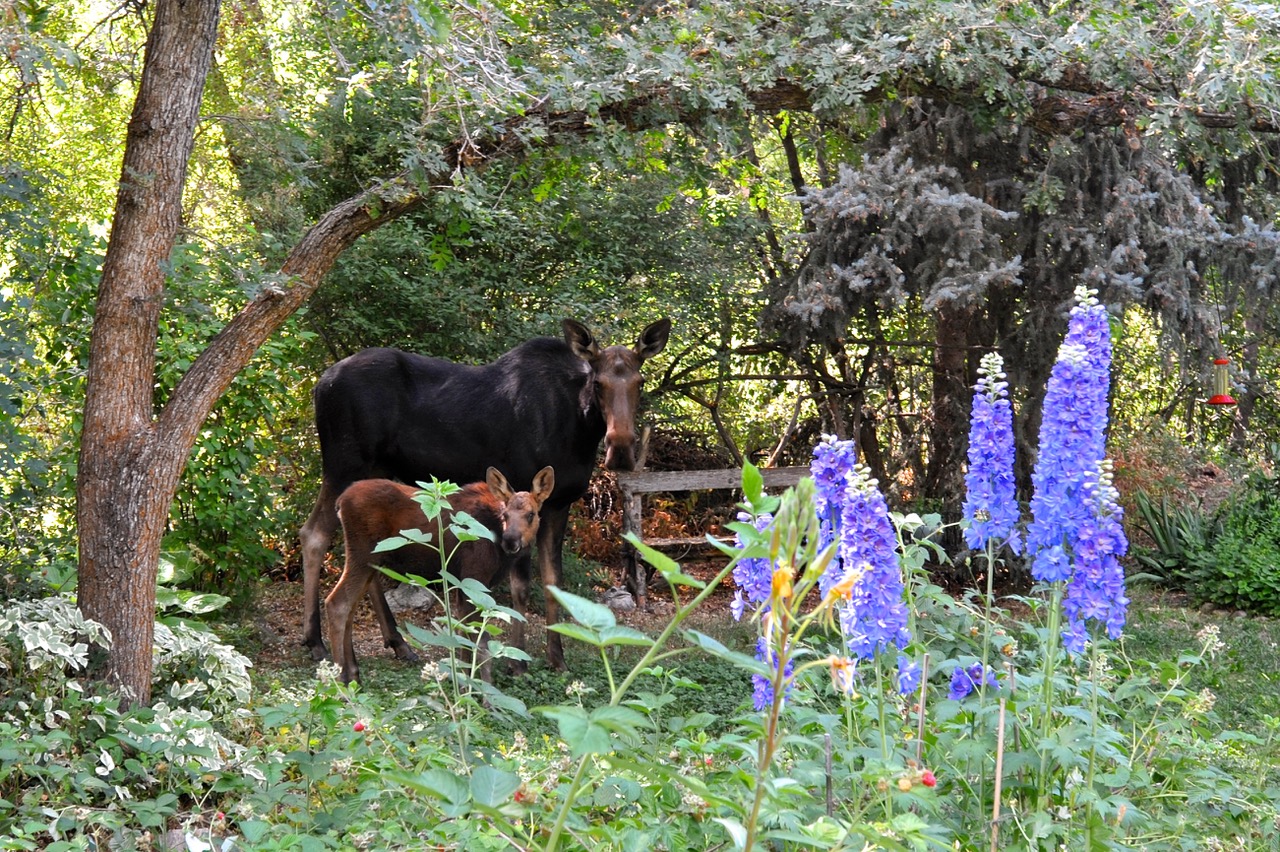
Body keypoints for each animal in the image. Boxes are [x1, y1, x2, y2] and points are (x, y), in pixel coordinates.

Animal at [298, 314, 670, 665]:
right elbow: (520, 588)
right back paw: (315, 640)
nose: (620, 448)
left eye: (640, 382)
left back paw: (397, 642)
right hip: (343, 465)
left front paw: (557, 658)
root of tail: (318, 385)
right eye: (598, 383)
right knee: (313, 533)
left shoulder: (557, 503)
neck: (579, 428)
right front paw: (518, 660)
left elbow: (553, 583)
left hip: (375, 470)